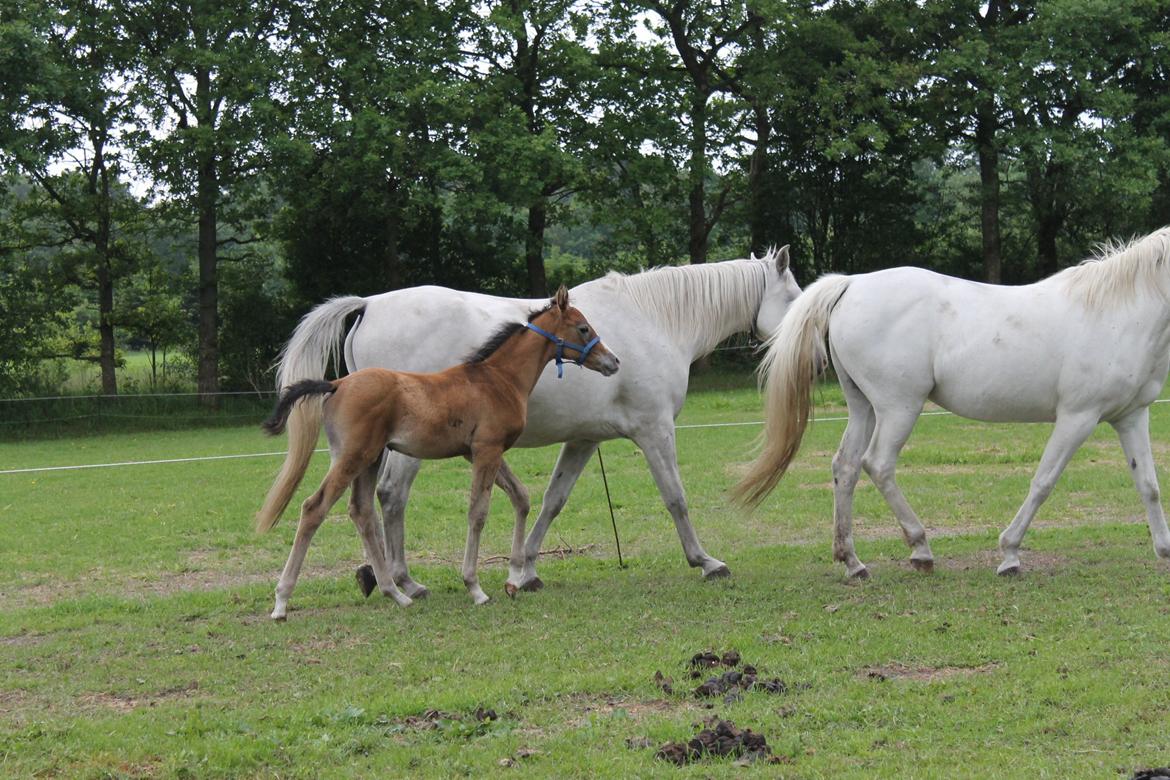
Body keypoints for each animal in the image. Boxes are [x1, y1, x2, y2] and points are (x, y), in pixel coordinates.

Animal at [257, 288, 622, 622]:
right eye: (583, 328)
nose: (613, 361)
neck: (498, 379)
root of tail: (336, 385)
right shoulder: (487, 449)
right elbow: (478, 512)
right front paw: (475, 587)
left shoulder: (478, 452)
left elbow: (520, 497)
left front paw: (514, 580)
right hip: (352, 458)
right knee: (314, 508)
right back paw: (282, 602)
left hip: (370, 459)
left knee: (361, 512)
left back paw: (395, 593)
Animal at [276, 246, 804, 594]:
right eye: (795, 297)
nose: (805, 341)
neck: (654, 321)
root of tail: (370, 303)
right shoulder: (655, 431)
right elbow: (676, 498)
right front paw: (705, 561)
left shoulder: (584, 441)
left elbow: (552, 501)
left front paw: (524, 571)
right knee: (390, 497)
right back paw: (405, 582)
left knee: (370, 502)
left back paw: (387, 579)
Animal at [734, 229, 1170, 577]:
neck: (1115, 314)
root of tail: (851, 285)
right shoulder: (1078, 418)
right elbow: (1043, 482)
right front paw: (1009, 554)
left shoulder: (1131, 416)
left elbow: (1148, 485)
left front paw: (1164, 550)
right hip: (899, 408)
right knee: (878, 464)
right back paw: (920, 548)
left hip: (865, 409)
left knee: (846, 466)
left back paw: (853, 561)